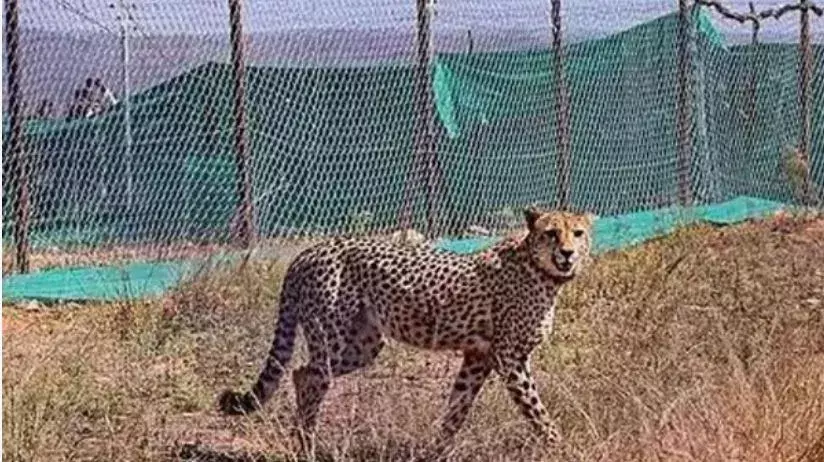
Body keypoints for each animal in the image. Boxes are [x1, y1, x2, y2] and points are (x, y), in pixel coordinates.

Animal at [218, 207, 595, 457]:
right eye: (551, 233)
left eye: (577, 233)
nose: (567, 253)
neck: (539, 268)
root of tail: (308, 251)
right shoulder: (510, 358)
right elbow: (537, 411)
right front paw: (562, 447)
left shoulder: (478, 357)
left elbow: (456, 409)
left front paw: (436, 450)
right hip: (332, 338)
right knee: (310, 376)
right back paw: (306, 445)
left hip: (364, 345)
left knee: (301, 372)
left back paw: (303, 440)